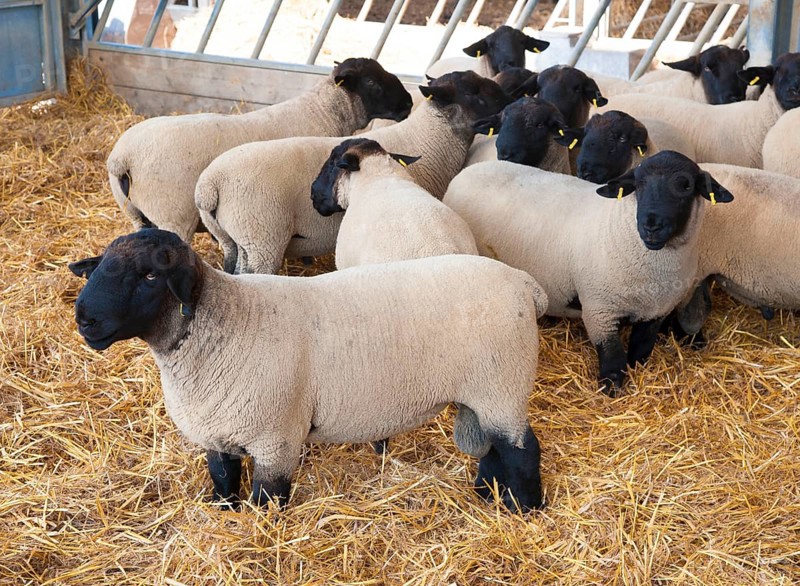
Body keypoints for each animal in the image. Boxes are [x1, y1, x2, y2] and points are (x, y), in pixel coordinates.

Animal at [69, 229, 548, 512]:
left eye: (151, 276)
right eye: (99, 268)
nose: (85, 319)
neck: (226, 323)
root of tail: (525, 284)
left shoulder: (275, 438)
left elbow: (267, 500)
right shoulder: (218, 432)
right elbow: (223, 482)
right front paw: (225, 518)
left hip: (503, 385)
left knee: (522, 450)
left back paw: (526, 509)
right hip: (483, 395)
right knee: (493, 449)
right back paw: (487, 495)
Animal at [107, 58, 413, 241]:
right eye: (372, 83)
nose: (410, 103)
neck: (321, 112)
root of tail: (122, 158)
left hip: (135, 213)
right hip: (171, 215)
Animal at [196, 70, 512, 275]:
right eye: (472, 92)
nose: (510, 100)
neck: (428, 139)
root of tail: (211, 182)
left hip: (233, 239)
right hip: (262, 239)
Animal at [443, 152, 734, 395]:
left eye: (686, 186)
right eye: (638, 185)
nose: (651, 225)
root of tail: (467, 171)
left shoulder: (656, 310)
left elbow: (641, 348)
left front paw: (638, 371)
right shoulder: (599, 309)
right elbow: (612, 355)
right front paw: (611, 389)